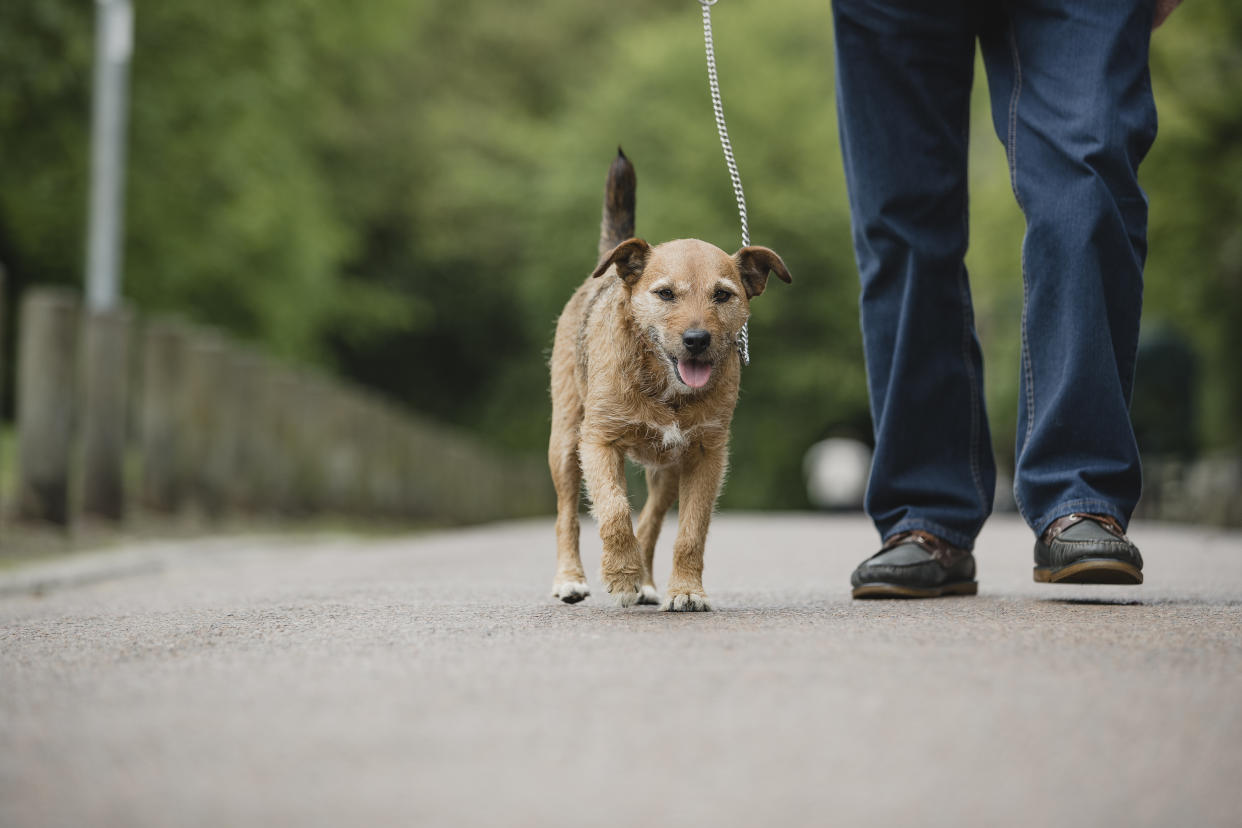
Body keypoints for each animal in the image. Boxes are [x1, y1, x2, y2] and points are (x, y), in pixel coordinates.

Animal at [548, 152, 789, 613]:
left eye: (722, 295)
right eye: (665, 294)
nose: (697, 339)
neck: (664, 387)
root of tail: (607, 271)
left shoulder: (707, 456)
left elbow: (690, 532)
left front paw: (686, 590)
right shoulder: (598, 442)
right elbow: (614, 511)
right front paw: (621, 576)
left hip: (667, 472)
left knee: (652, 522)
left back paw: (646, 581)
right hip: (566, 442)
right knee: (568, 513)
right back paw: (571, 579)